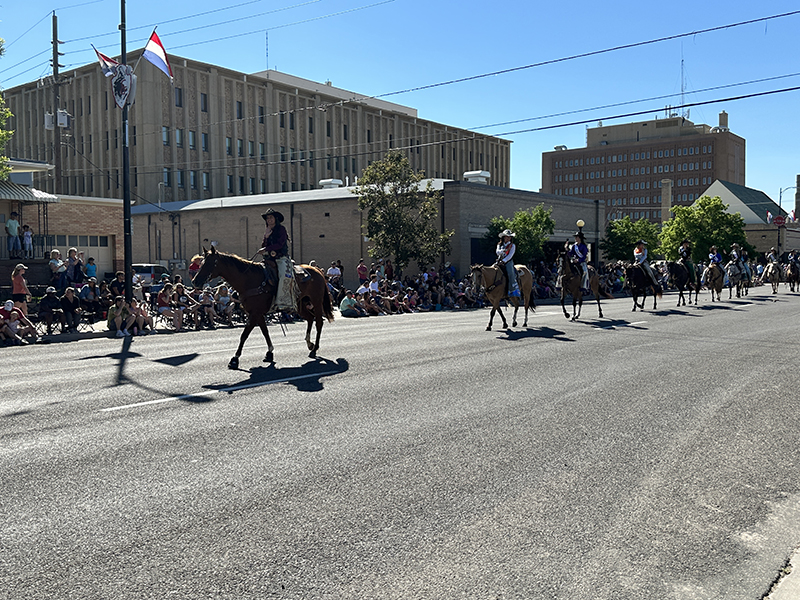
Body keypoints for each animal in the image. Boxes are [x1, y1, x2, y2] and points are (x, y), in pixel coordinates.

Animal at [193, 246, 334, 368]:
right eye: (201, 263)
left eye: (210, 263)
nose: (195, 281)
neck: (249, 280)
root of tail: (317, 271)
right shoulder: (257, 313)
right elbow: (265, 332)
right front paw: (270, 353)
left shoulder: (255, 313)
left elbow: (244, 335)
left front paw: (235, 359)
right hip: (300, 304)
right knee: (310, 318)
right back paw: (310, 344)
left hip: (316, 301)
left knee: (319, 322)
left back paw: (314, 349)